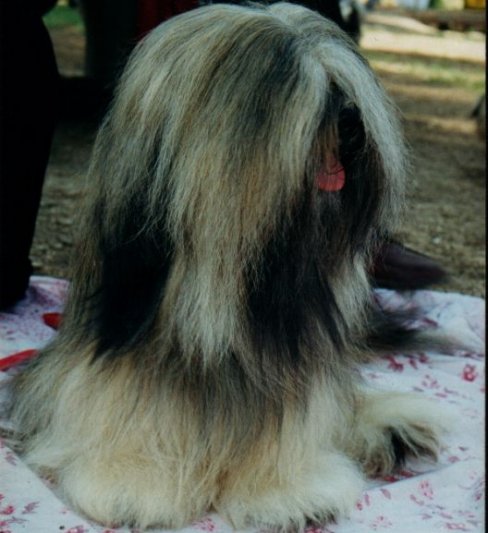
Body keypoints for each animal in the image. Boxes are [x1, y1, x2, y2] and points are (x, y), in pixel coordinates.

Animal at [11, 3, 447, 529]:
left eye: (341, 89)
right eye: (292, 92)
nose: (350, 121)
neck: (231, 301)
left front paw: (282, 487)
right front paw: (133, 473)